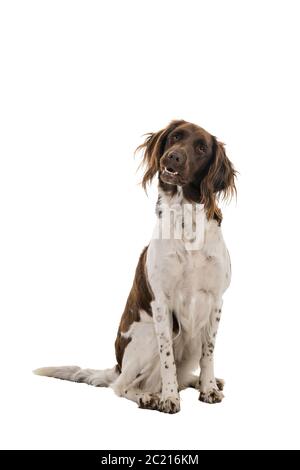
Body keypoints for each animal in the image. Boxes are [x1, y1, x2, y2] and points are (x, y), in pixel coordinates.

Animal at [34, 119, 237, 414]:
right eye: (175, 137)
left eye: (201, 148)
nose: (173, 157)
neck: (185, 223)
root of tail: (117, 366)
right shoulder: (162, 304)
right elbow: (167, 361)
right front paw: (169, 398)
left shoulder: (215, 300)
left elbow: (208, 352)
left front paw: (208, 388)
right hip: (150, 338)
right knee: (121, 386)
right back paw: (147, 397)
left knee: (183, 373)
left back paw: (201, 382)